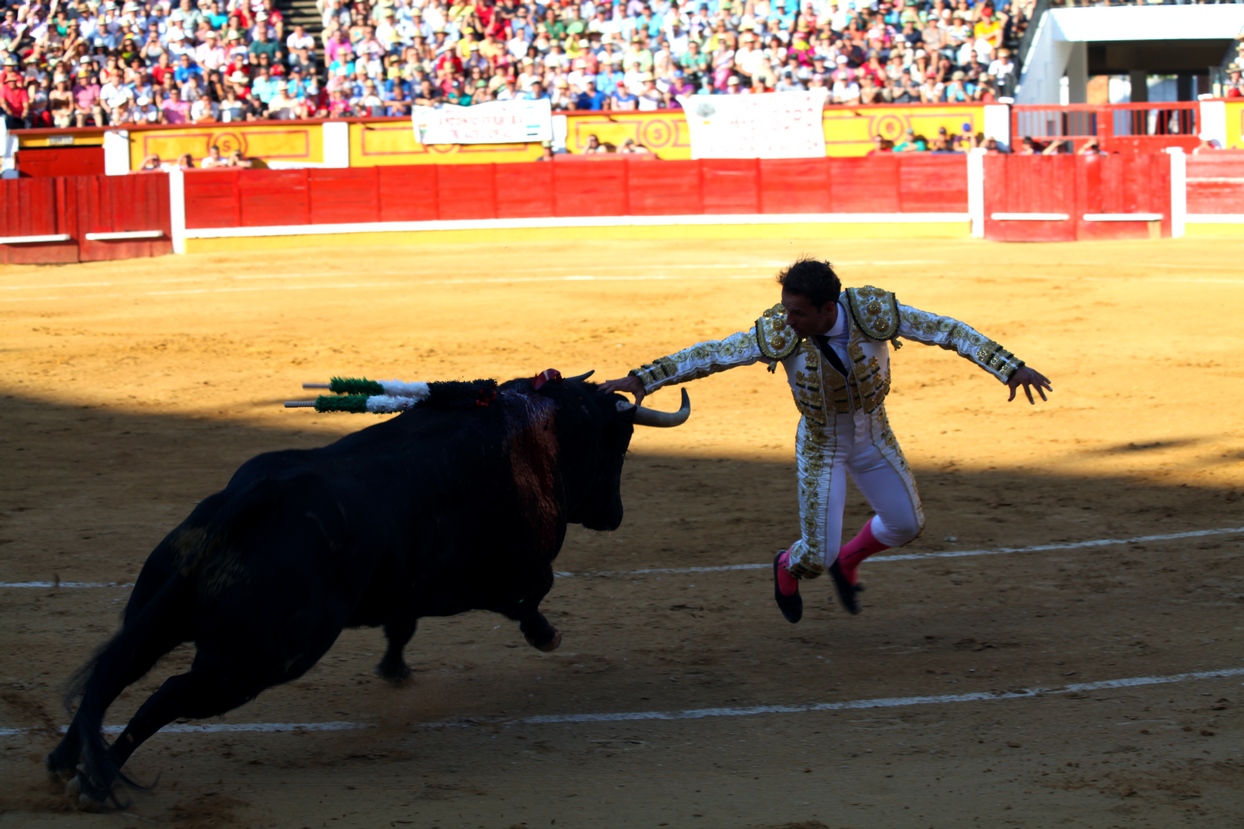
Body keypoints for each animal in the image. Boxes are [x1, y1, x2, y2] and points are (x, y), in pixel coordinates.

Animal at [48, 370, 691, 801]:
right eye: (619, 443)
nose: (614, 514)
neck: (537, 432)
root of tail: (251, 502)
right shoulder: (494, 575)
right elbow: (532, 594)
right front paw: (545, 636)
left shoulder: (408, 585)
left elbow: (401, 626)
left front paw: (394, 669)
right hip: (255, 662)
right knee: (167, 694)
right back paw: (93, 779)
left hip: (156, 613)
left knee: (116, 674)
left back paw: (66, 760)